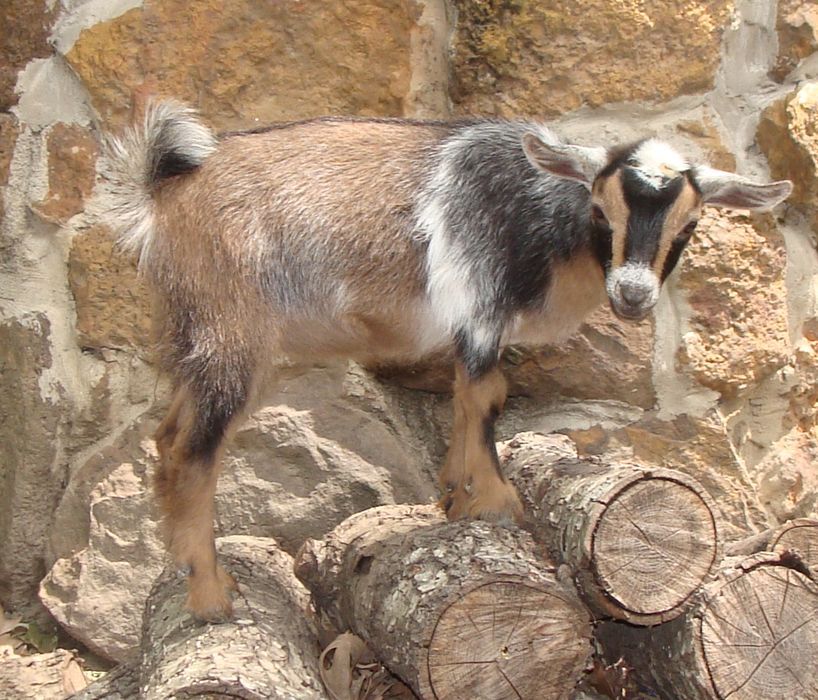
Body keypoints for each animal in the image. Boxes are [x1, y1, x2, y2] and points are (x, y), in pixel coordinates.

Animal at [102, 100, 792, 621]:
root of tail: (164, 196)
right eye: (601, 209)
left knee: (168, 436)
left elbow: (470, 399)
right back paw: (211, 596)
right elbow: (485, 398)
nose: (633, 294)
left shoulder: (475, 327)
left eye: (690, 224)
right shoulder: (482, 312)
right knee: (194, 449)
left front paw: (457, 499)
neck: (536, 214)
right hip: (233, 333)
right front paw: (499, 503)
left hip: (200, 337)